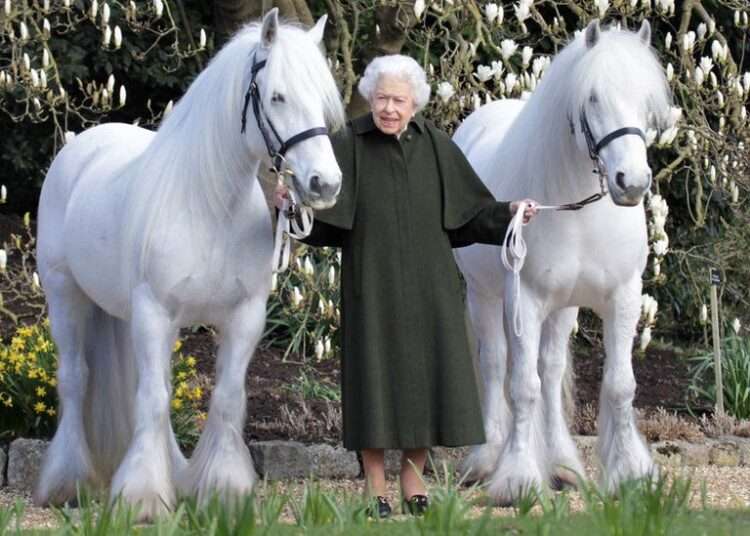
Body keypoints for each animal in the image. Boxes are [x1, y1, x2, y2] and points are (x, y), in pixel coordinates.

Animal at [33, 9, 344, 519]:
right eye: (277, 96)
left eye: (322, 100)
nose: (325, 183)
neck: (209, 206)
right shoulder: (154, 312)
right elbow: (153, 400)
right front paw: (142, 498)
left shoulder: (243, 317)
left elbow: (225, 398)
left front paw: (223, 490)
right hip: (66, 296)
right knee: (76, 380)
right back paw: (68, 482)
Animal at [452, 20, 671, 504]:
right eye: (592, 98)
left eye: (646, 100)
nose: (632, 182)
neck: (579, 210)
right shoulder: (526, 300)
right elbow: (522, 387)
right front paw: (517, 479)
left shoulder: (623, 296)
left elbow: (619, 385)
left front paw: (630, 474)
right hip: (484, 297)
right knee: (495, 365)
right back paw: (485, 460)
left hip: (564, 307)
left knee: (551, 372)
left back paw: (563, 465)